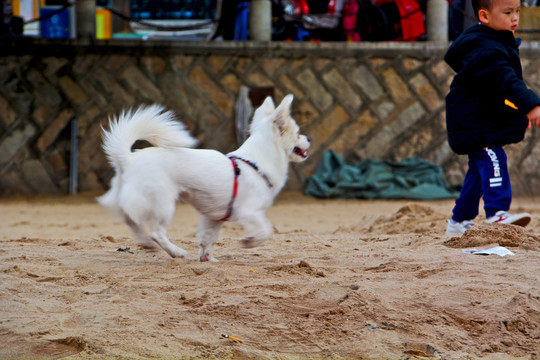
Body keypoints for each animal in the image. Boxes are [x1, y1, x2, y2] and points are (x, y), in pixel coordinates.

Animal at [96, 93, 308, 262]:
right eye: (298, 133)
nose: (308, 139)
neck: (255, 163)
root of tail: (128, 159)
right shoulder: (248, 212)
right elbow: (266, 231)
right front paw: (249, 242)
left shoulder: (213, 218)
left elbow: (207, 239)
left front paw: (208, 259)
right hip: (163, 204)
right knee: (156, 232)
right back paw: (176, 252)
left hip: (131, 200)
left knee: (130, 219)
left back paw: (145, 242)